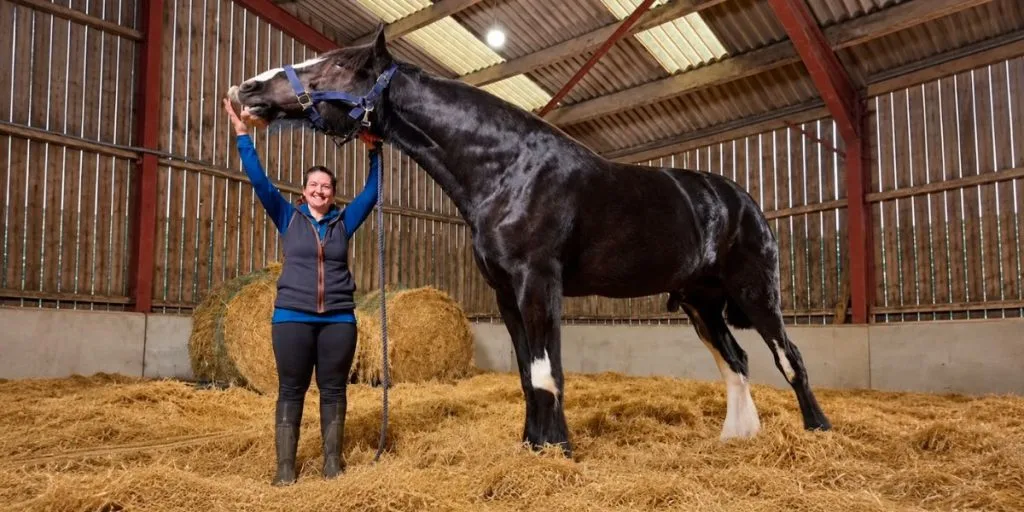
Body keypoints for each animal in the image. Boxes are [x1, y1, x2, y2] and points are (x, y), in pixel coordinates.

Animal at [227, 26, 832, 457]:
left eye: (337, 66)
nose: (247, 89)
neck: (508, 168)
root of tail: (740, 201)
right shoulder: (505, 292)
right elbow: (525, 372)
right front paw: (534, 445)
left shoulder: (538, 282)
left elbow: (546, 371)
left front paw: (558, 449)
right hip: (700, 303)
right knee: (736, 361)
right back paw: (737, 437)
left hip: (756, 294)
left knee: (789, 357)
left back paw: (818, 430)